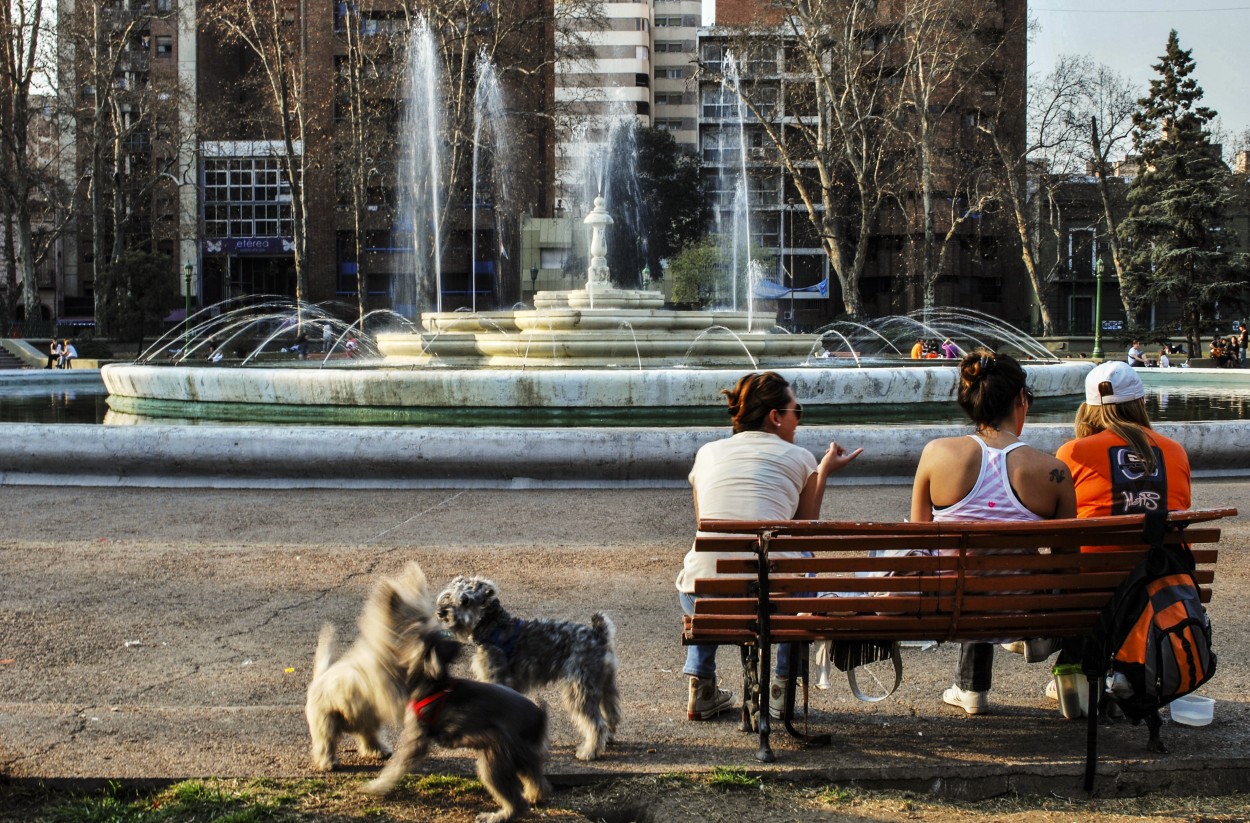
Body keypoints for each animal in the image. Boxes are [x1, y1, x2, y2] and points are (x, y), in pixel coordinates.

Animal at [365, 582, 552, 820]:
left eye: (410, 632)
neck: (432, 684)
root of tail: (539, 717)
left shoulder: (416, 740)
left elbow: (395, 767)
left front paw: (377, 786)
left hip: (495, 760)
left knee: (515, 800)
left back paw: (496, 815)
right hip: (523, 757)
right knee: (537, 780)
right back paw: (534, 795)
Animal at [435, 572, 620, 760]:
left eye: (465, 600)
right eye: (449, 595)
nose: (441, 612)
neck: (492, 626)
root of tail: (599, 635)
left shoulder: (496, 680)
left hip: (579, 689)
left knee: (596, 723)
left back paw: (590, 751)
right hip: (605, 684)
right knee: (611, 713)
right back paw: (607, 738)